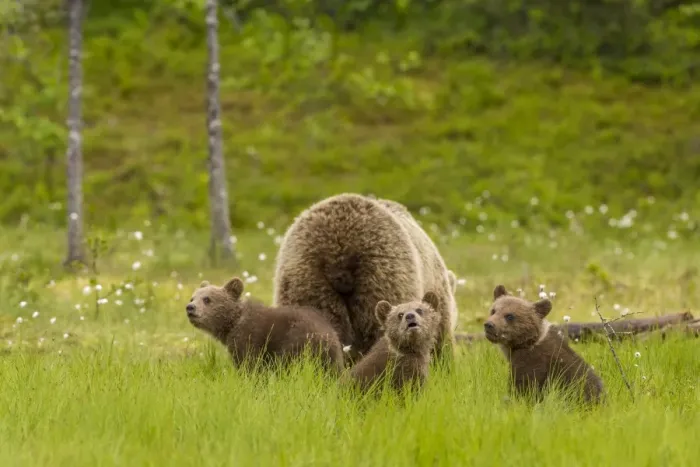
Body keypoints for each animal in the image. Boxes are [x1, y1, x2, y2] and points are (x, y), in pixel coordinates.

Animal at [186, 277, 344, 373]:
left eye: (207, 299)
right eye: (192, 297)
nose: (190, 308)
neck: (232, 324)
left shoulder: (250, 338)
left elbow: (249, 365)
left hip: (298, 342)